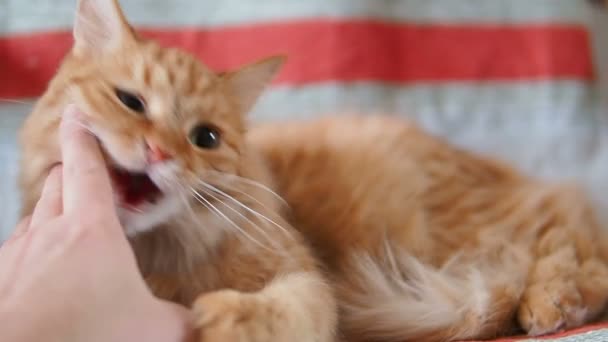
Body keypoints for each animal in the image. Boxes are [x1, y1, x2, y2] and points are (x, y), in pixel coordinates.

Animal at [16, 0, 338, 342]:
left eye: (206, 138)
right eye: (130, 101)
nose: (159, 152)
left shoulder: (305, 276)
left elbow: (295, 307)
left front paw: (229, 320)